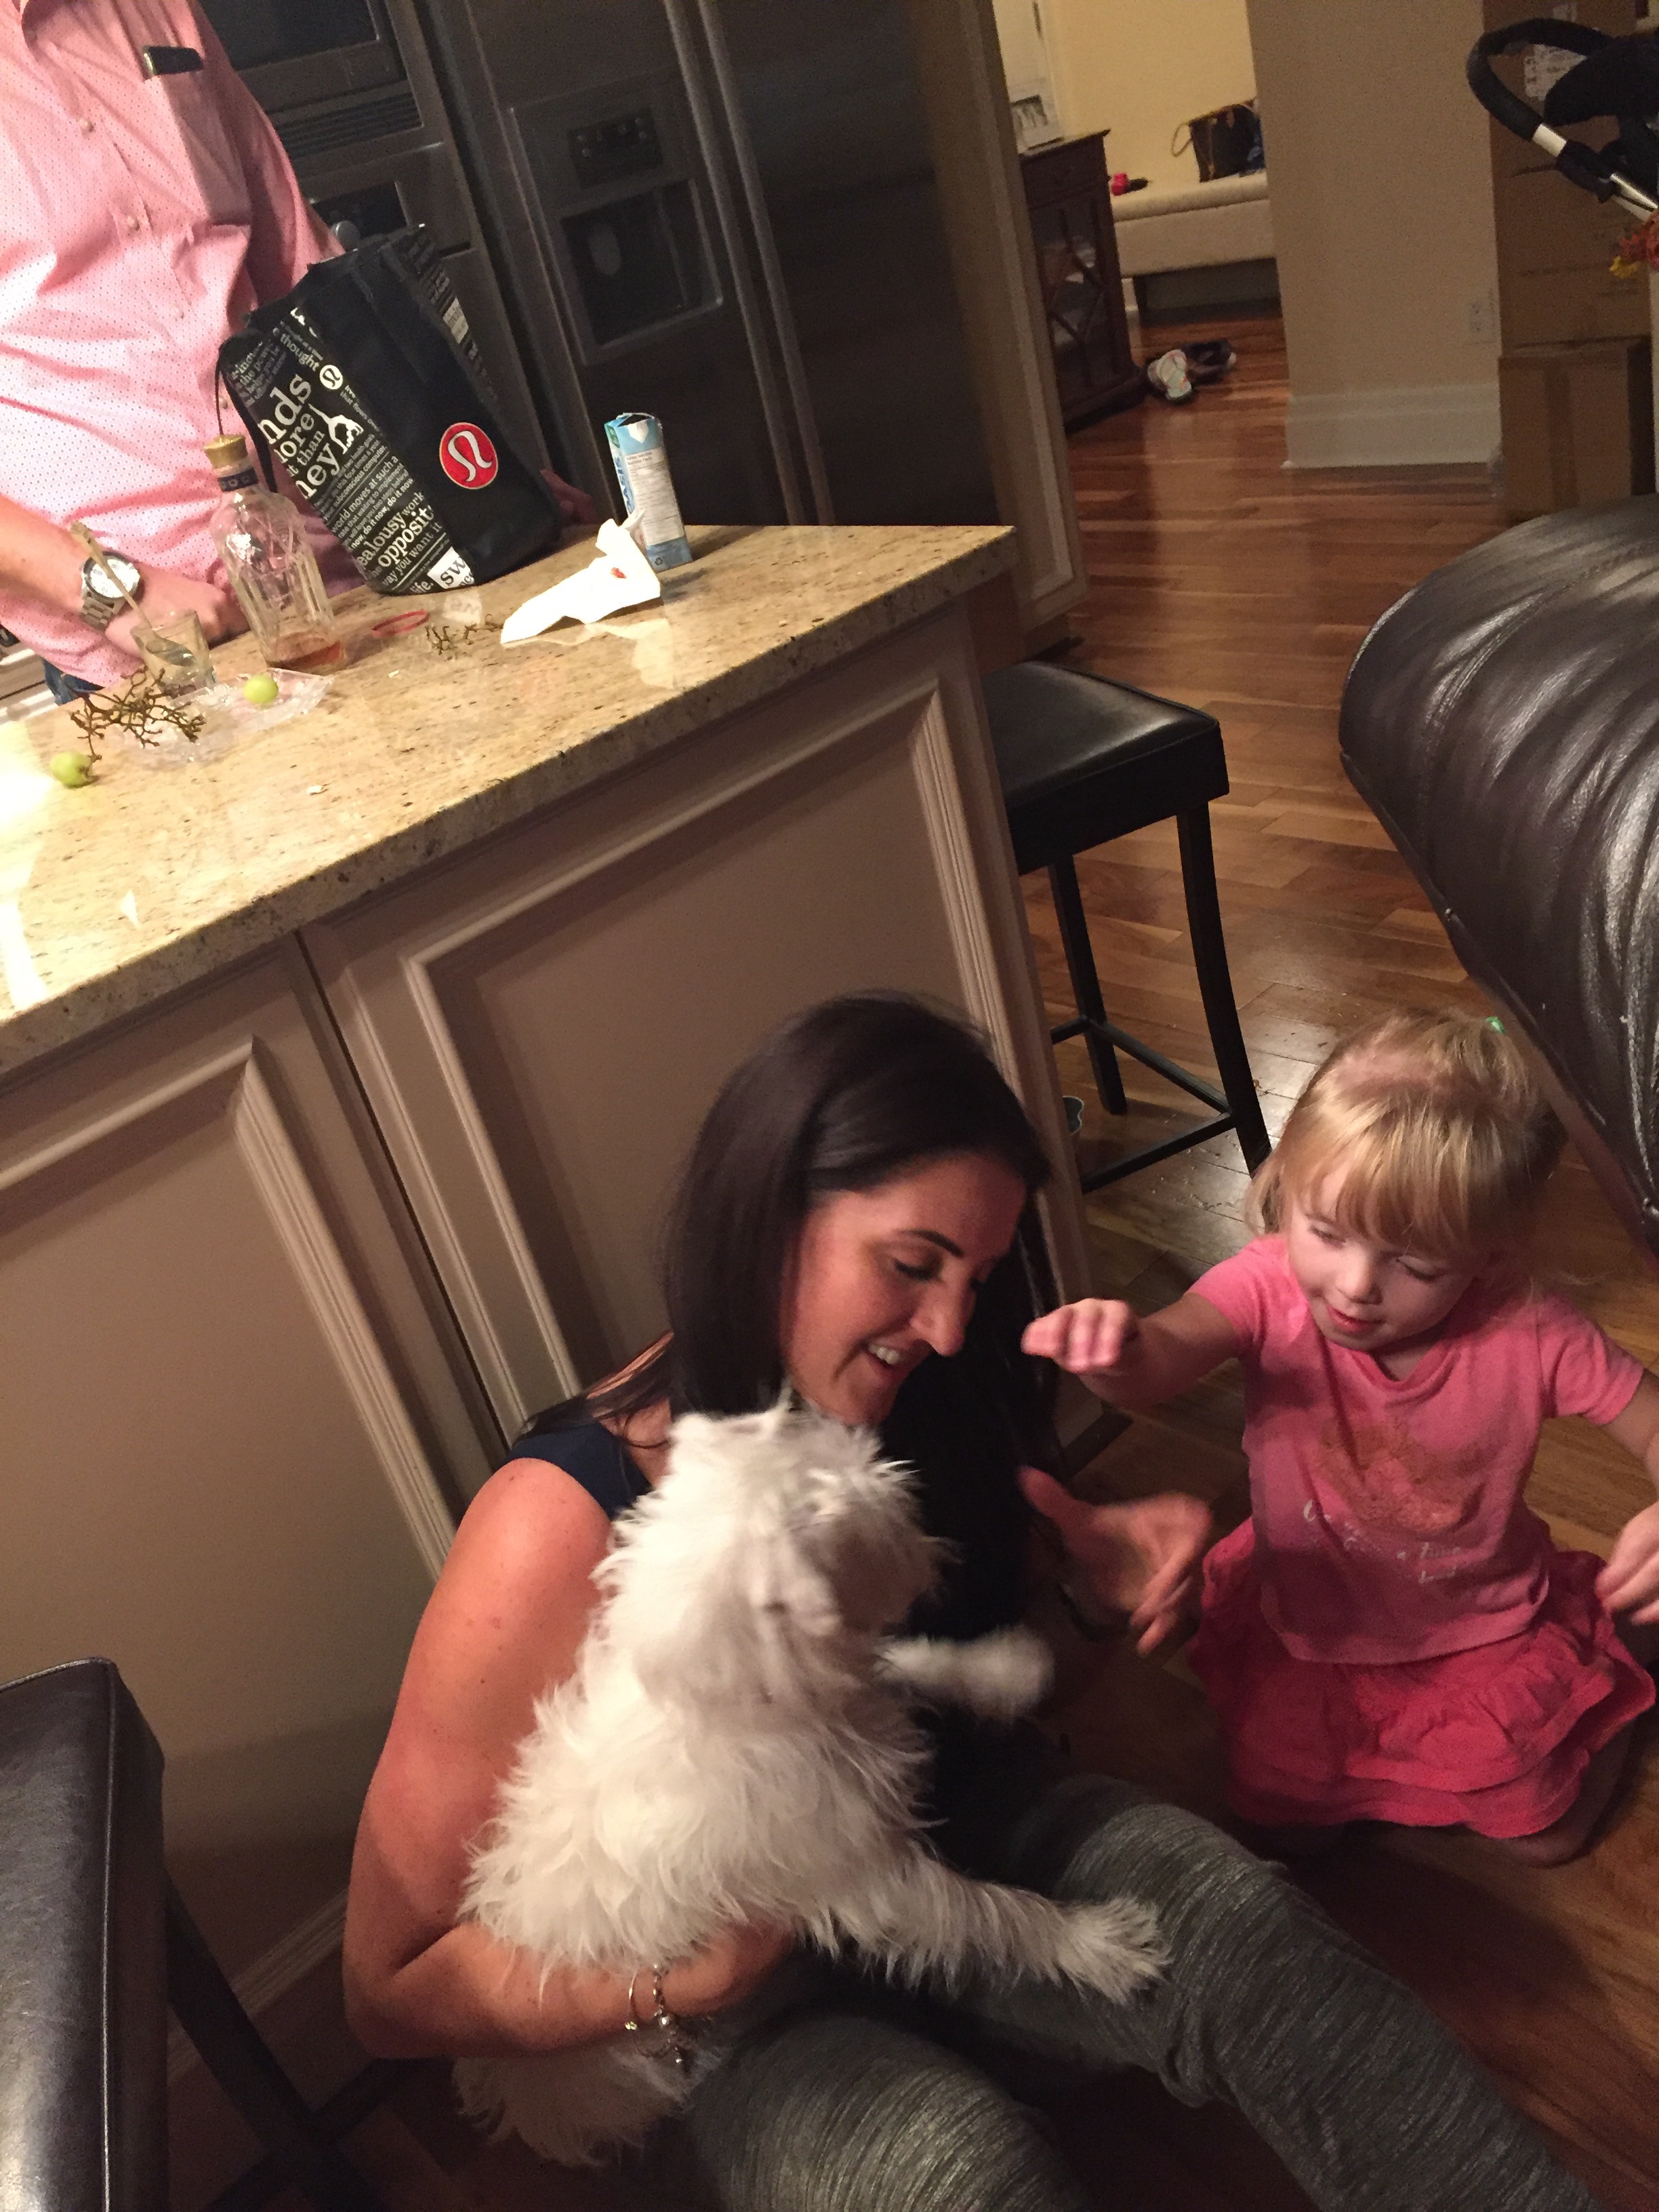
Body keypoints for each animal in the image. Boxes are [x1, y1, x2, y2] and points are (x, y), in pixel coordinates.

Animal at [455, 1403, 1164, 2164]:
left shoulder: (856, 1700)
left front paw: (1003, 1668)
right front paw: (1098, 1945)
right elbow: (992, 1914)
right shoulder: (871, 1883)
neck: (738, 1707)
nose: (894, 1473)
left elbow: (903, 1665)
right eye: (831, 1512)